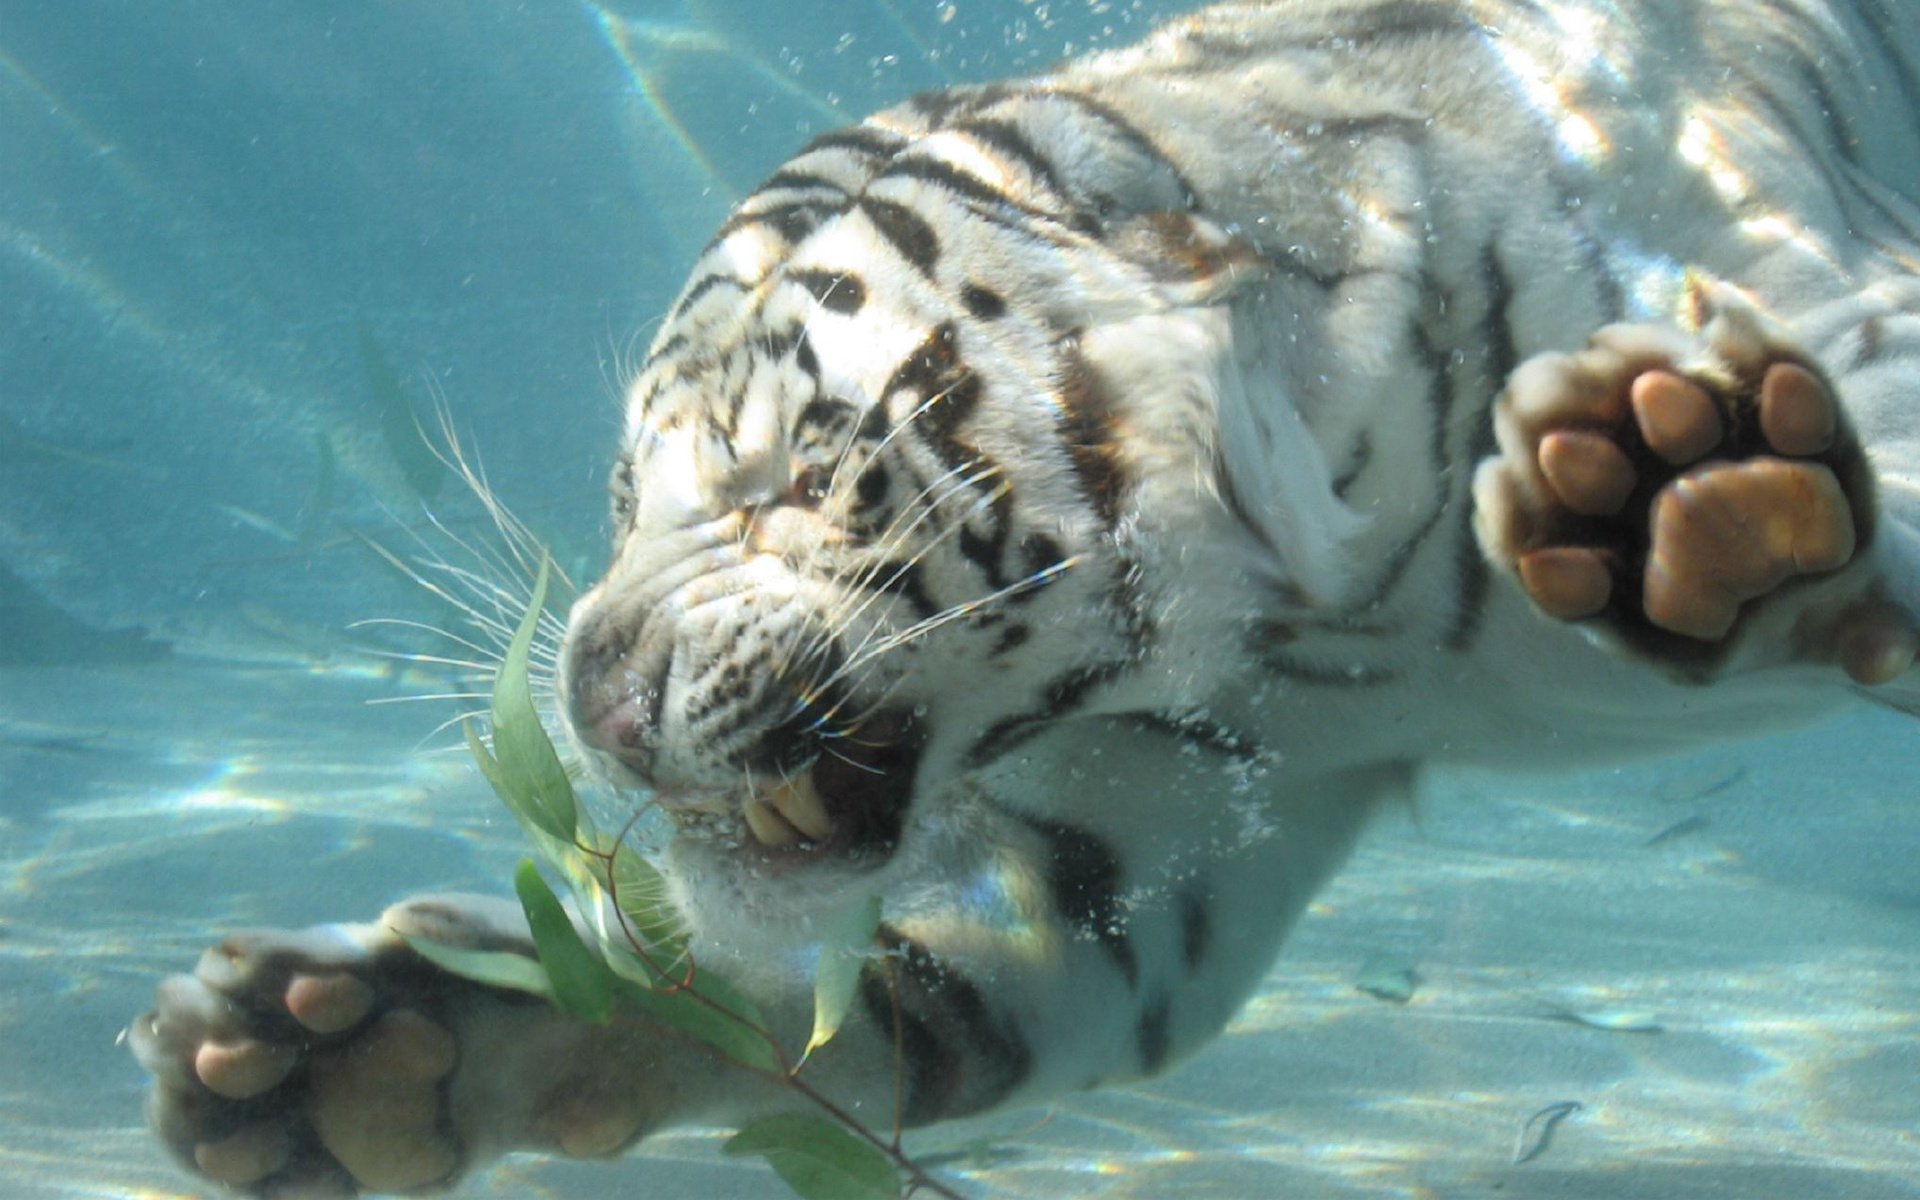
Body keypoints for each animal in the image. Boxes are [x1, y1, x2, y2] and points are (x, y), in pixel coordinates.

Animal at [131, 0, 1920, 1194]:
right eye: (631, 502)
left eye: (793, 469)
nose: (591, 697)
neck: (1333, 609)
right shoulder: (1152, 832)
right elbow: (863, 1006)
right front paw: (359, 1051)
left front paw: (1675, 482)